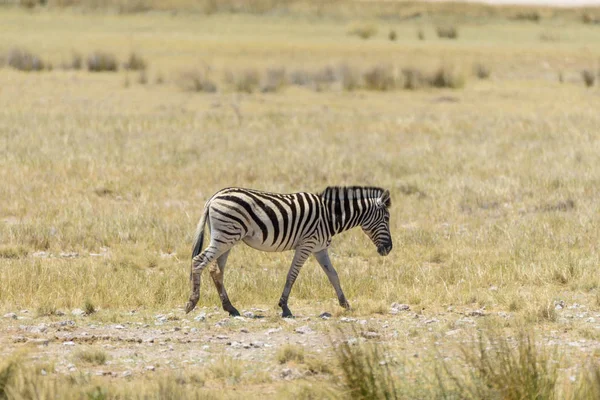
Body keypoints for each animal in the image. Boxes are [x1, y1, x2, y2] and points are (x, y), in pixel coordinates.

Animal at [188, 185, 394, 318]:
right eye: (386, 218)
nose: (389, 249)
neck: (329, 216)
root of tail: (213, 197)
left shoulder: (320, 248)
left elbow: (333, 275)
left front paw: (345, 304)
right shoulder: (306, 245)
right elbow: (292, 275)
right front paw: (285, 307)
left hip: (227, 239)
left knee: (216, 270)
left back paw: (230, 308)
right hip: (225, 236)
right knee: (198, 261)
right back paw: (192, 303)